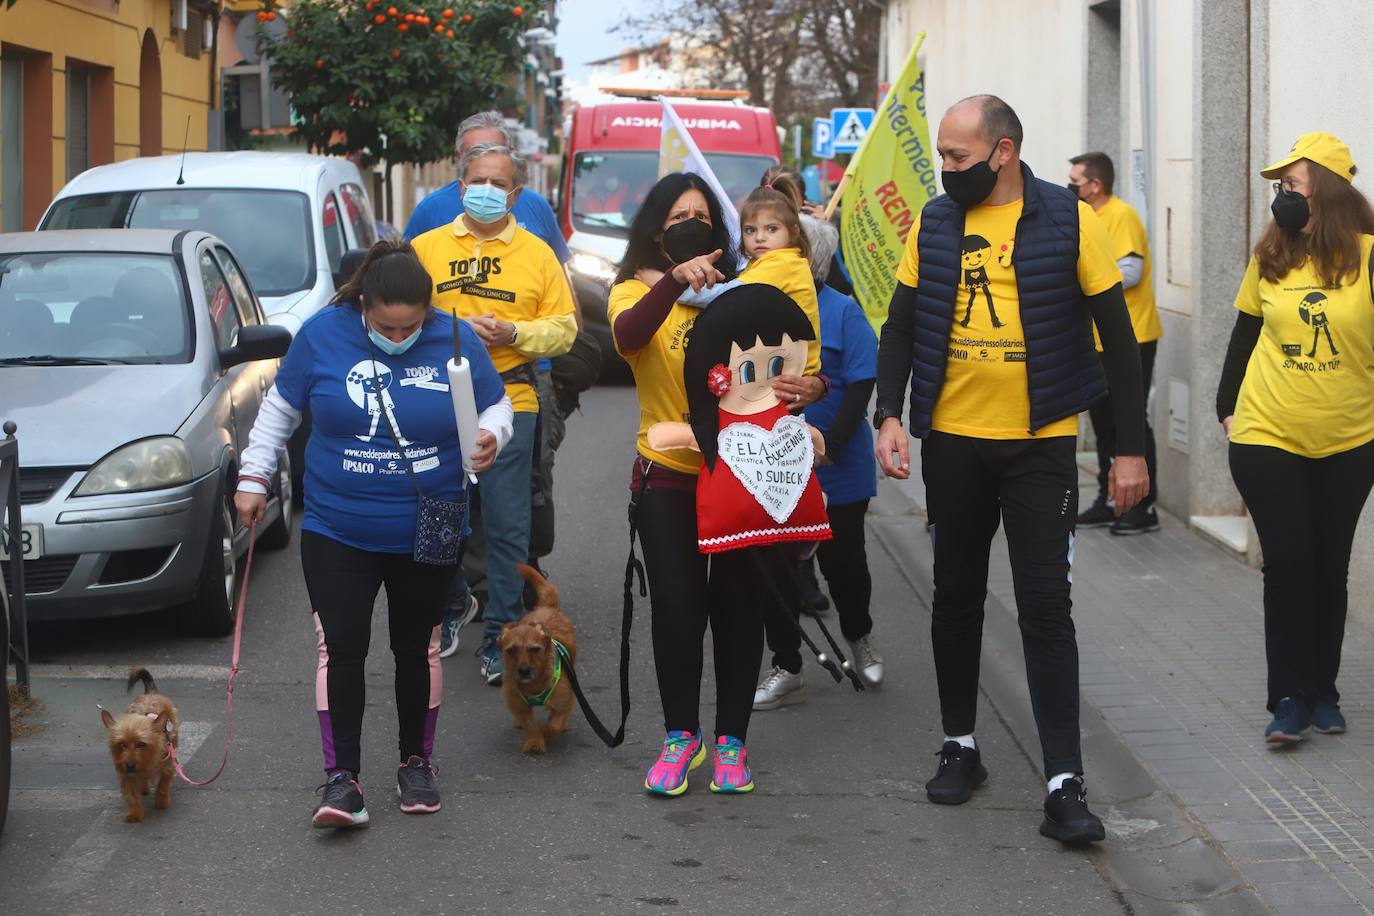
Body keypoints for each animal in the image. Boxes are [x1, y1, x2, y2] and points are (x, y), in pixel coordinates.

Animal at [100, 667, 179, 823]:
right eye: (122, 744)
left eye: (141, 744)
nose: (130, 765)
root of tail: (151, 693)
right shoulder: (127, 774)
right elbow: (132, 795)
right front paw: (135, 814)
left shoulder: (168, 764)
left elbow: (163, 784)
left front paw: (161, 802)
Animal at [500, 565, 574, 752]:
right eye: (511, 650)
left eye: (534, 649)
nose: (524, 671)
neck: (534, 686)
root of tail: (546, 608)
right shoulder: (518, 703)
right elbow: (529, 723)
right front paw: (534, 740)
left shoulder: (562, 702)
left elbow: (554, 726)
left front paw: (545, 731)